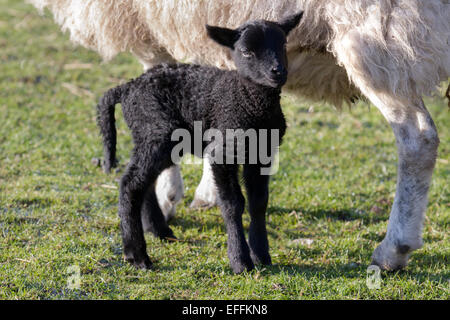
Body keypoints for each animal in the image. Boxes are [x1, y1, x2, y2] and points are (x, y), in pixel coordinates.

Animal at [96, 11, 304, 272]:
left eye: (283, 44)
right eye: (246, 51)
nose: (277, 72)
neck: (247, 100)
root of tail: (127, 87)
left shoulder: (262, 152)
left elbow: (259, 201)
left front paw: (262, 256)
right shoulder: (222, 152)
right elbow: (233, 203)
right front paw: (240, 261)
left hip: (153, 138)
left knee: (144, 182)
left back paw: (160, 231)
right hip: (155, 132)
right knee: (130, 184)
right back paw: (138, 255)